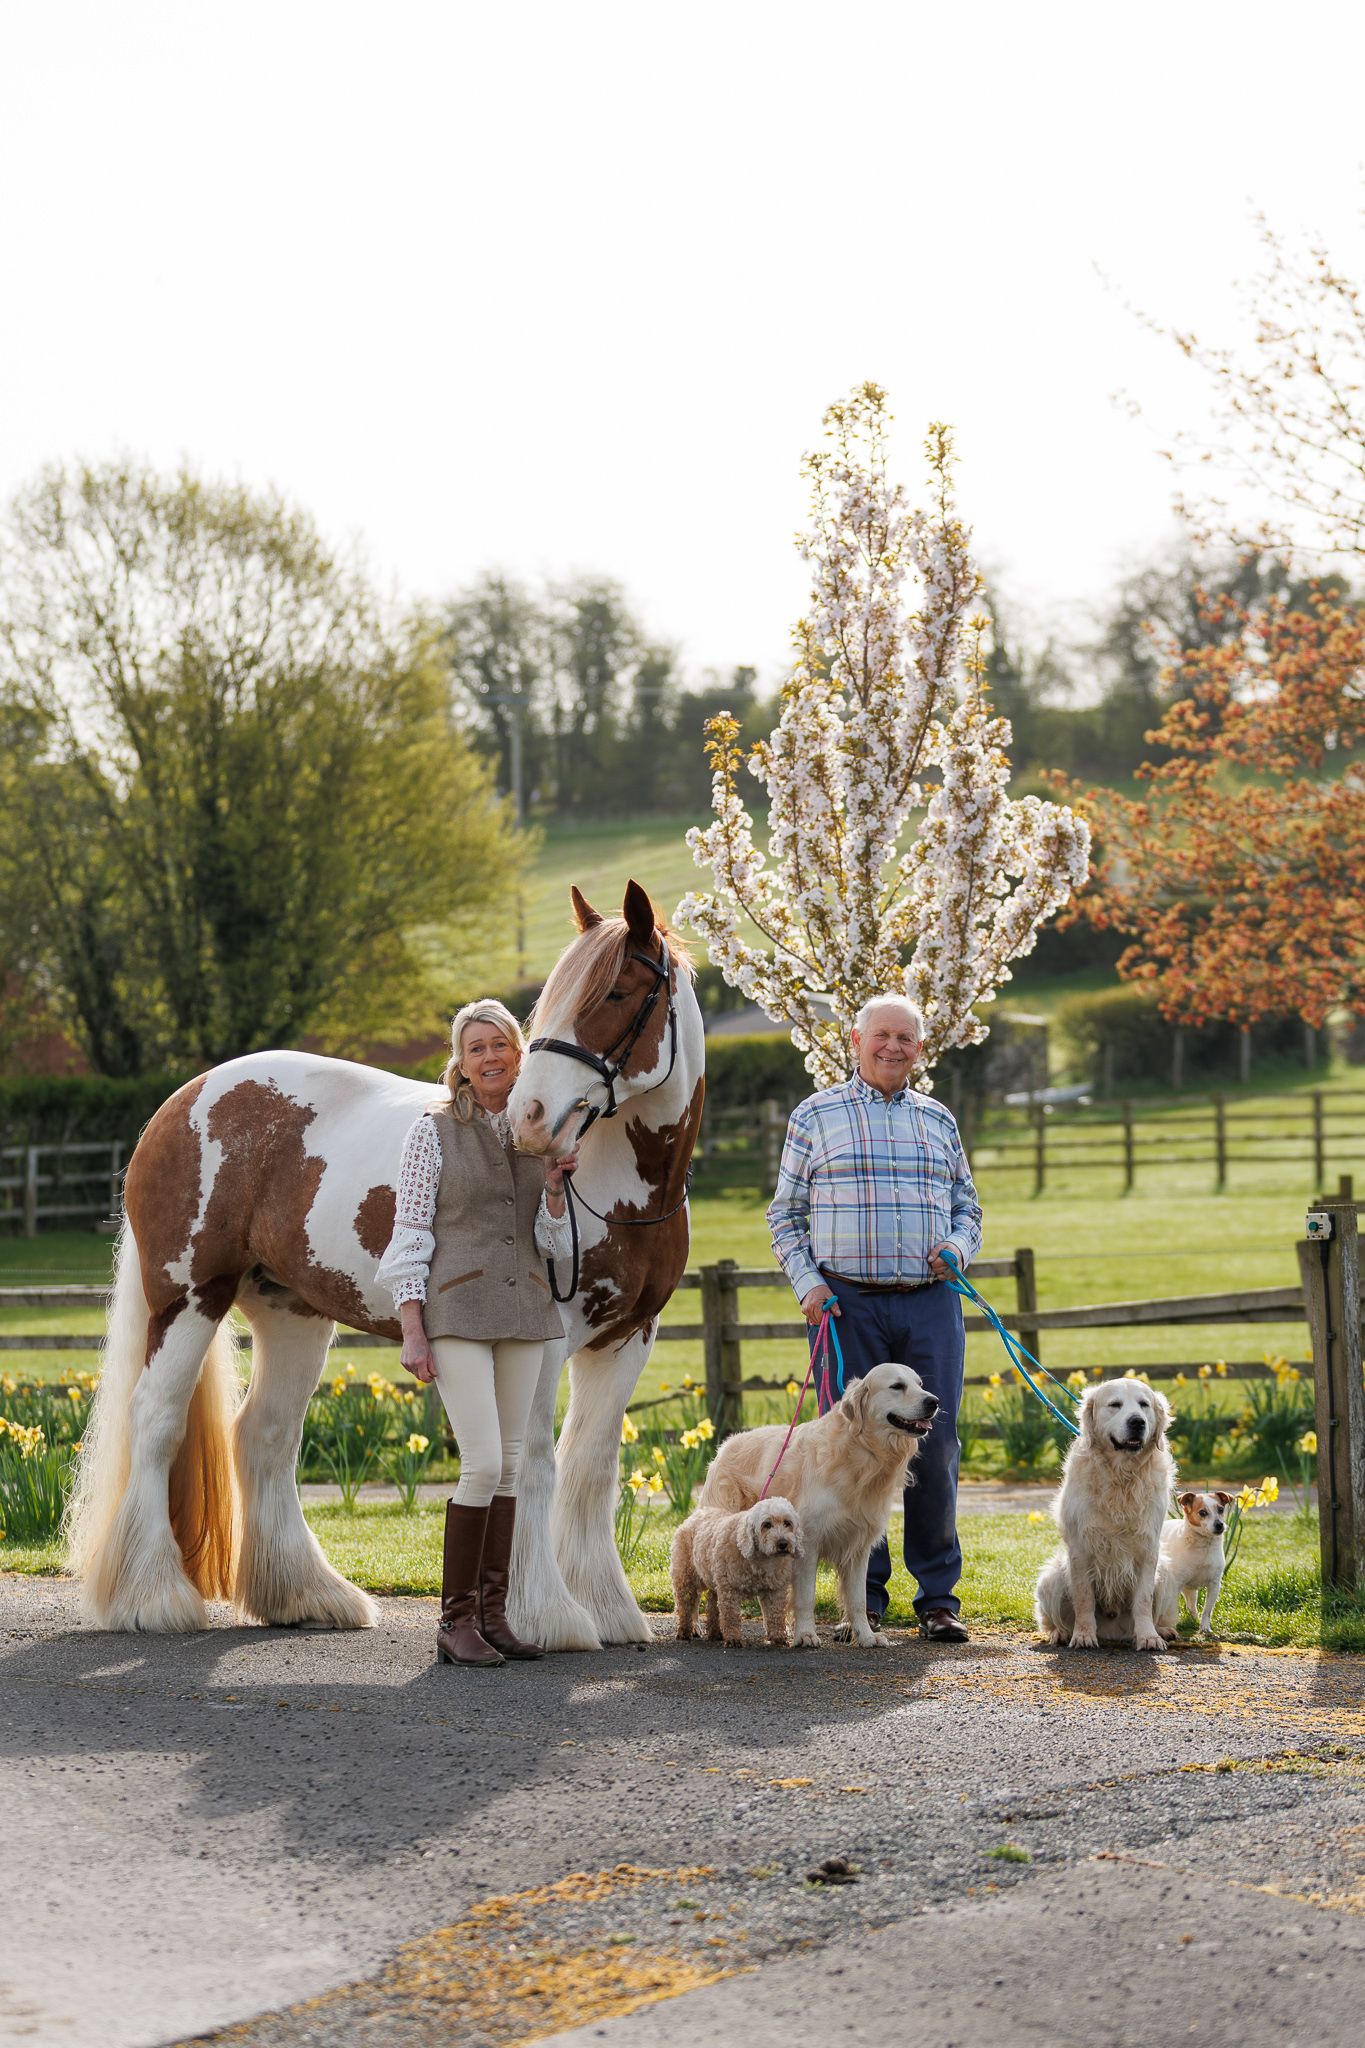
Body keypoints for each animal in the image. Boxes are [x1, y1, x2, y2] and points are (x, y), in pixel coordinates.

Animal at [65, 879, 704, 1650]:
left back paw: (307, 1595)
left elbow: (591, 1464)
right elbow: (536, 1463)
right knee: (156, 1420)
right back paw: (153, 1599)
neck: (618, 1182)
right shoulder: (549, 1338)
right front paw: (551, 1616)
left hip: (292, 1314)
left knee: (265, 1435)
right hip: (189, 1296)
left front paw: (609, 1610)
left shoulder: (629, 1338)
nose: (529, 1115)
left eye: (615, 993)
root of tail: (188, 1096)